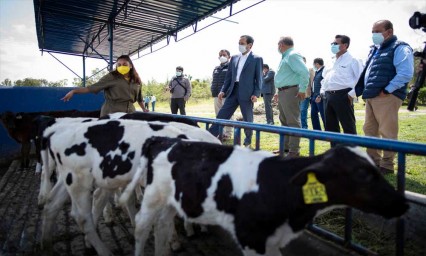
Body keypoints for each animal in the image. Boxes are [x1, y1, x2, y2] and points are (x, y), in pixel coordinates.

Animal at [133, 138, 410, 256]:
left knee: (163, 227)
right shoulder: (250, 238)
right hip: (151, 197)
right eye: (362, 173)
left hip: (172, 201)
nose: (403, 203)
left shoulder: (273, 240)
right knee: (142, 226)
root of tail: (164, 140)